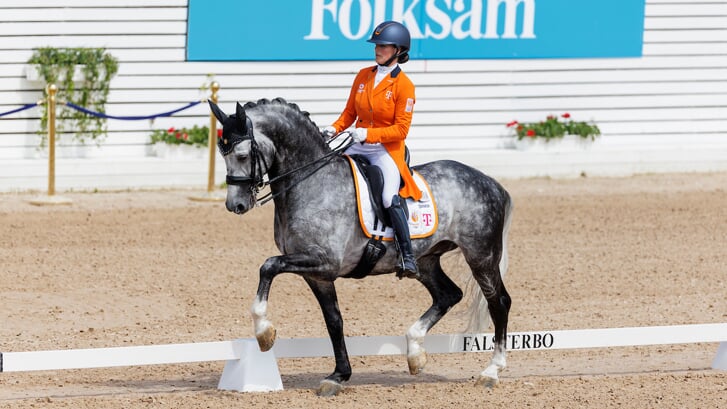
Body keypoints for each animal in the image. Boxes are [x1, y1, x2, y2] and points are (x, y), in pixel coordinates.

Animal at [208, 98, 516, 396]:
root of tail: (491, 183)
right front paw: (338, 376)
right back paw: (415, 351)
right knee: (448, 294)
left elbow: (268, 266)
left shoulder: (323, 261)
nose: (235, 205)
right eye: (223, 155)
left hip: (481, 256)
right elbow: (334, 321)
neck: (312, 182)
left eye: (242, 155)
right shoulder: (317, 274)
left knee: (498, 302)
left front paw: (263, 332)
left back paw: (491, 371)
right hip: (426, 260)